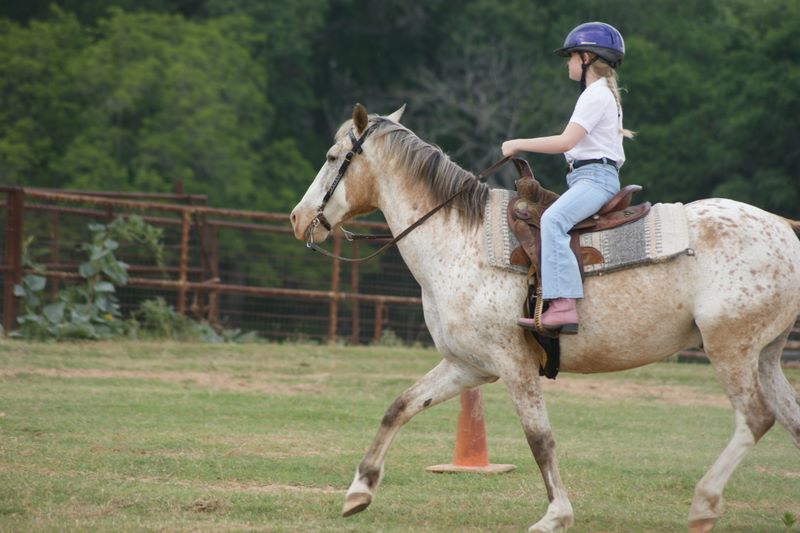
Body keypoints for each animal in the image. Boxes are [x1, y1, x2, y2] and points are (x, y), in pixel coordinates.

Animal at [290, 103, 800, 533]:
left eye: (334, 157)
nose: (297, 218)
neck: (460, 240)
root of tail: (783, 227)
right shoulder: (467, 366)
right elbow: (400, 407)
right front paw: (358, 492)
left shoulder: (513, 365)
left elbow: (539, 439)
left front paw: (556, 515)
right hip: (766, 355)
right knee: (790, 421)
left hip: (730, 348)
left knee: (755, 418)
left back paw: (703, 504)